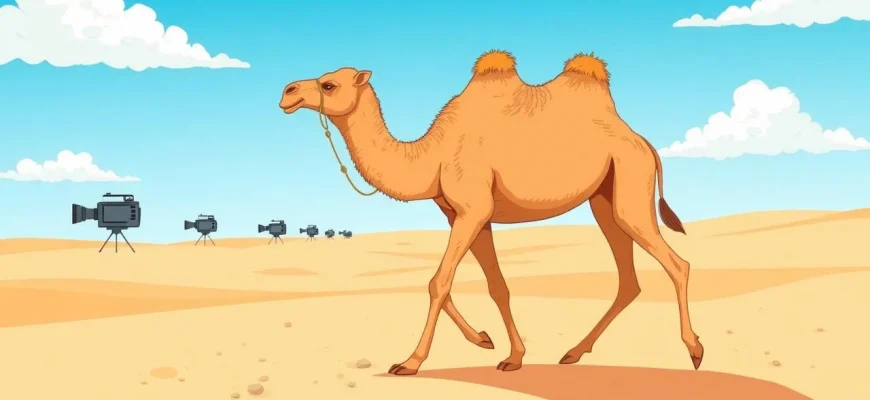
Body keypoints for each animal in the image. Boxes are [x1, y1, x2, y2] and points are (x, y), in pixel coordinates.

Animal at [278, 50, 704, 376]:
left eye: (329, 84)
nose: (287, 92)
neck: (430, 155)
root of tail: (642, 141)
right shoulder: (464, 215)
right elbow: (493, 286)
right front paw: (497, 348)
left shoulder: (473, 208)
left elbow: (438, 282)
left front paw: (410, 362)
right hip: (604, 199)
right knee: (628, 280)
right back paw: (572, 353)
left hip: (631, 185)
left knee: (677, 264)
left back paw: (695, 351)